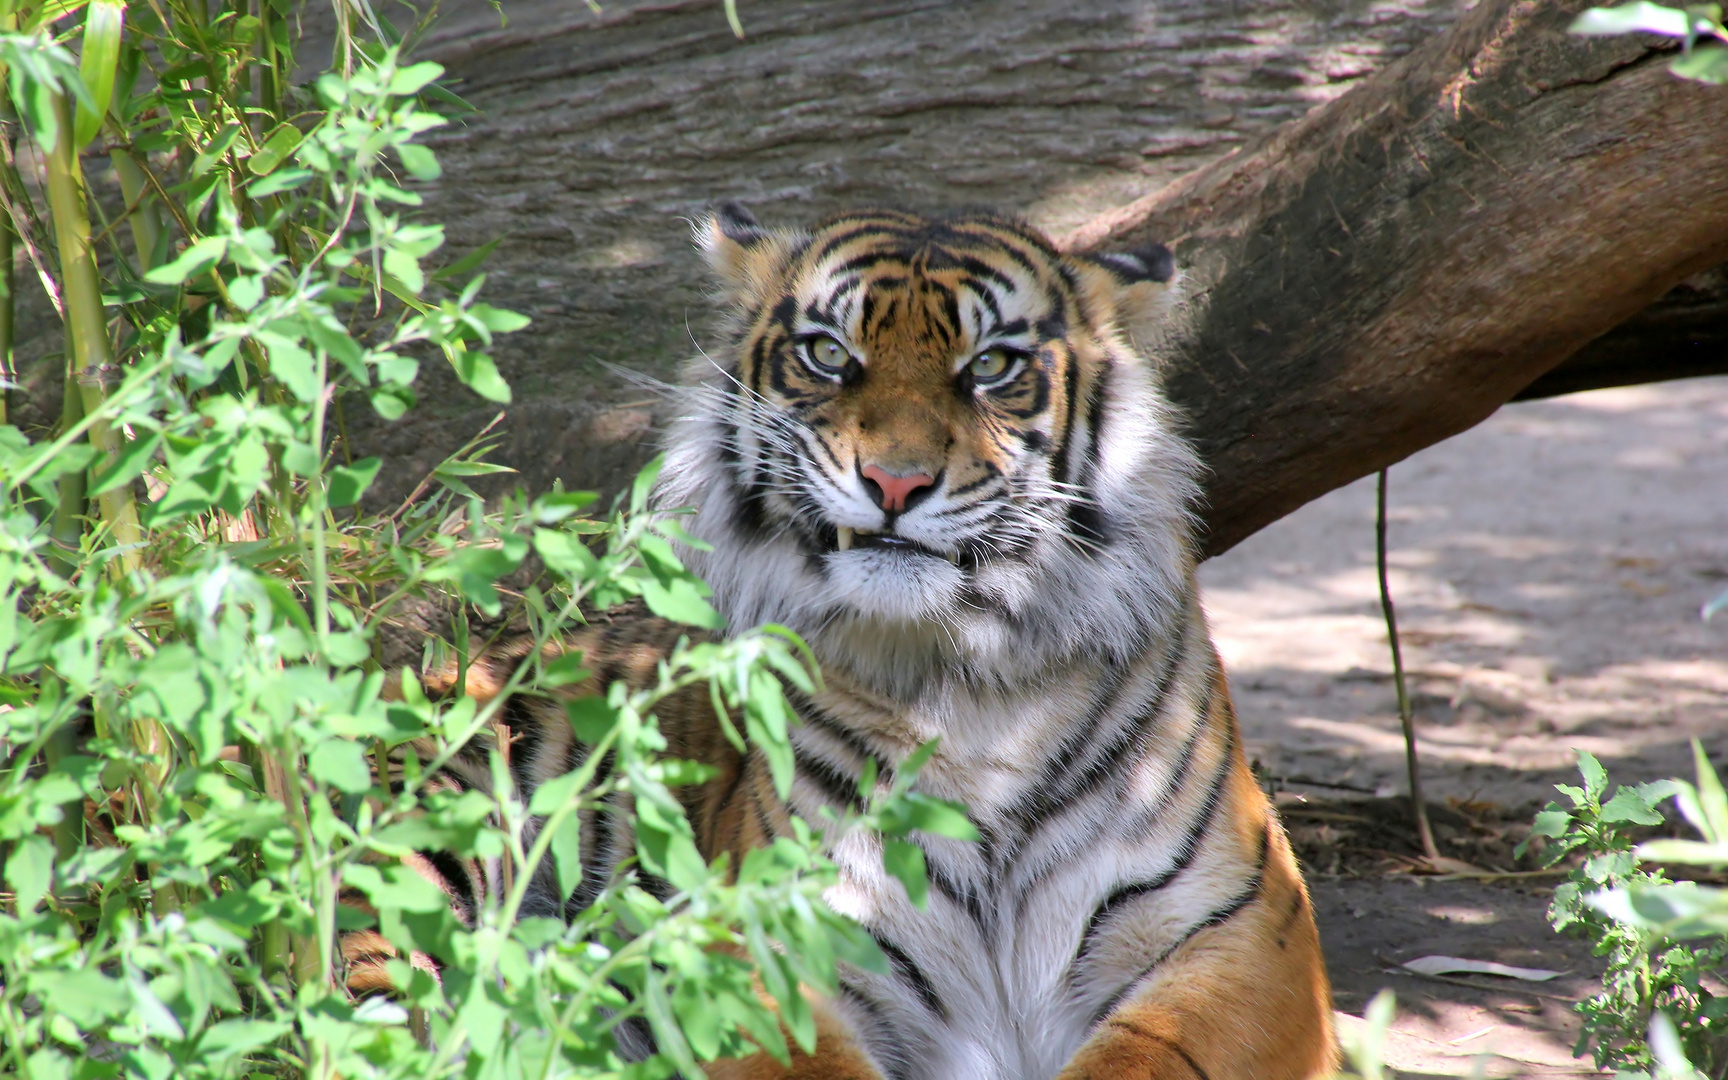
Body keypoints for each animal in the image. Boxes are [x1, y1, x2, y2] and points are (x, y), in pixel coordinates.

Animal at [357, 203, 1334, 1078]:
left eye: (993, 366)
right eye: (828, 354)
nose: (895, 482)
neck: (968, 684)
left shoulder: (1239, 936)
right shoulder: (775, 944)